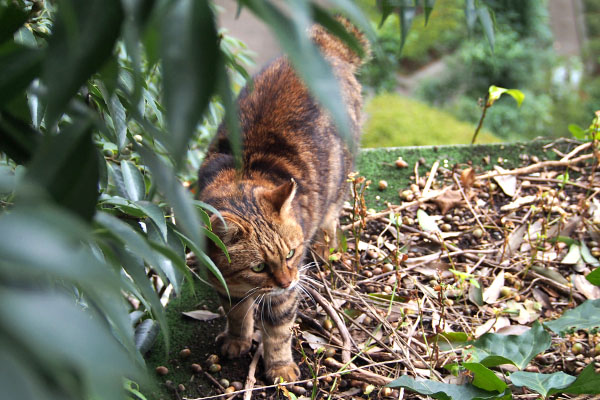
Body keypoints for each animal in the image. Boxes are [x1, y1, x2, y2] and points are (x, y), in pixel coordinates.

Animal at [197, 21, 368, 382]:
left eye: (290, 254)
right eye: (258, 266)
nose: (289, 280)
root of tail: (322, 43)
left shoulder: (282, 298)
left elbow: (277, 331)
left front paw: (280, 367)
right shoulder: (227, 286)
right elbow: (237, 315)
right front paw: (238, 339)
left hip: (339, 181)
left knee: (330, 219)